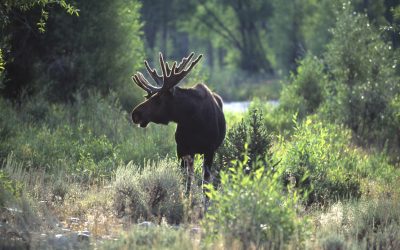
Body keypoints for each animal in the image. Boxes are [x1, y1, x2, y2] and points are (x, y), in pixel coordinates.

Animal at [131, 52, 225, 197]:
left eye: (158, 98)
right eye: (150, 96)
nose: (135, 114)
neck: (192, 119)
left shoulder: (209, 150)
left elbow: (205, 183)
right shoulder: (181, 148)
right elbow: (184, 179)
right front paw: (185, 198)